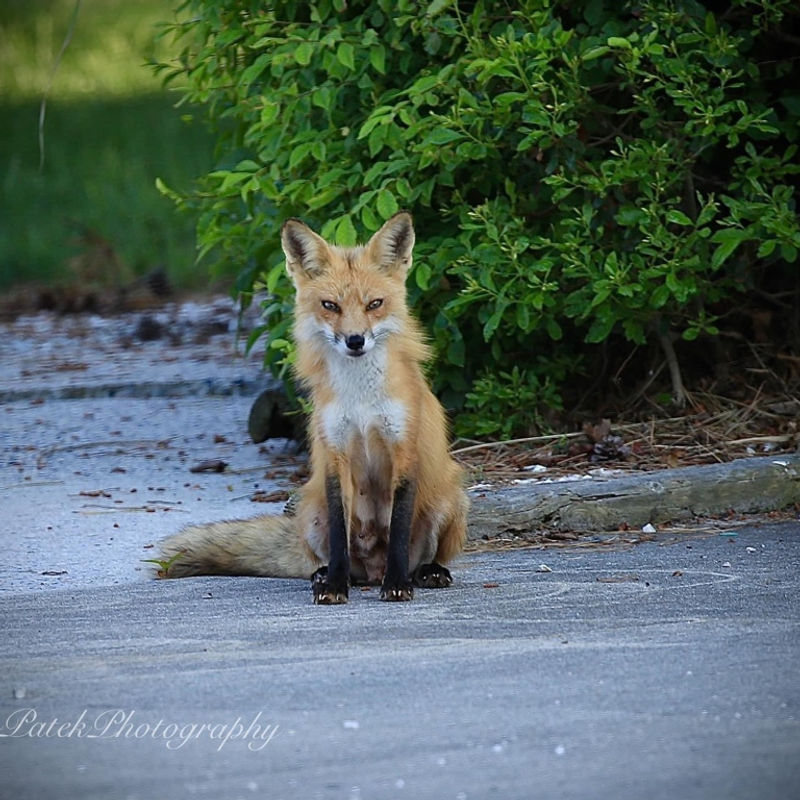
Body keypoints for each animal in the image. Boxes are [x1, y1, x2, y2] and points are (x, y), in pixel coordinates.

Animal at [157, 212, 469, 603]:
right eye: (330, 306)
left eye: (374, 304)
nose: (355, 340)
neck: (360, 398)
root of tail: (372, 569)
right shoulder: (335, 452)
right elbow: (339, 534)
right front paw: (334, 584)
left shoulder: (403, 449)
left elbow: (398, 526)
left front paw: (397, 584)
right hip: (308, 508)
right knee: (334, 557)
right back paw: (327, 575)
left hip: (449, 498)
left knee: (425, 556)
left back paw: (426, 572)